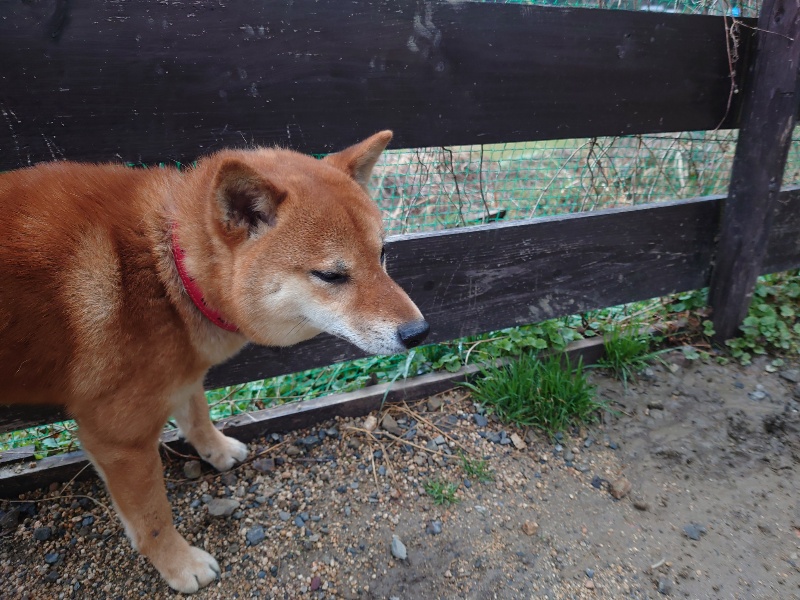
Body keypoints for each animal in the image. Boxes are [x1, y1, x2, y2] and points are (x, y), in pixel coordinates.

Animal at [0, 131, 429, 592]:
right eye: (331, 276)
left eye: (382, 254)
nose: (420, 332)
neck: (167, 267)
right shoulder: (118, 439)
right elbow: (152, 519)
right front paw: (179, 564)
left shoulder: (181, 374)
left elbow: (197, 414)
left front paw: (217, 451)